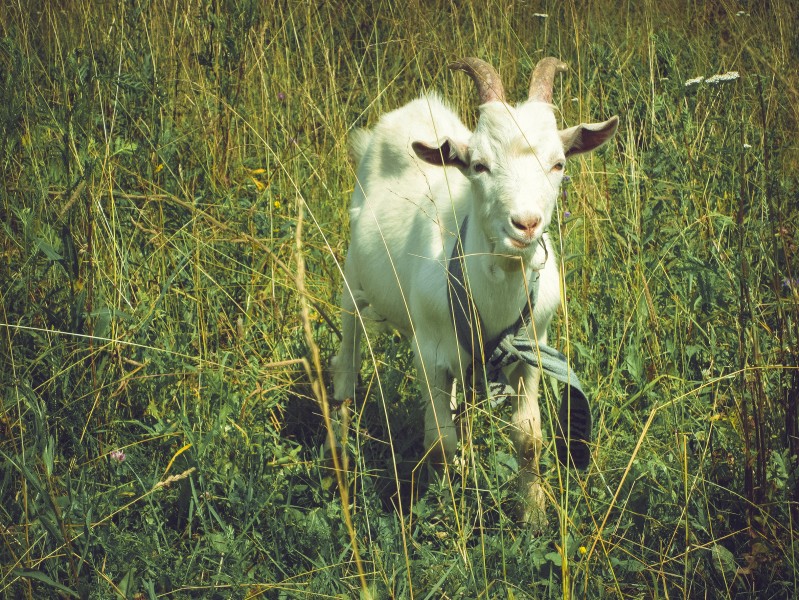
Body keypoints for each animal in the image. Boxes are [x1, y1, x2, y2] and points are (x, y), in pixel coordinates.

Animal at [332, 57, 620, 524]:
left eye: (559, 164)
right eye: (479, 165)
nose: (526, 224)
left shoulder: (531, 349)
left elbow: (528, 439)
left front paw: (534, 514)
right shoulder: (428, 353)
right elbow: (439, 442)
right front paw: (449, 507)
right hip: (353, 282)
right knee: (347, 360)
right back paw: (337, 448)